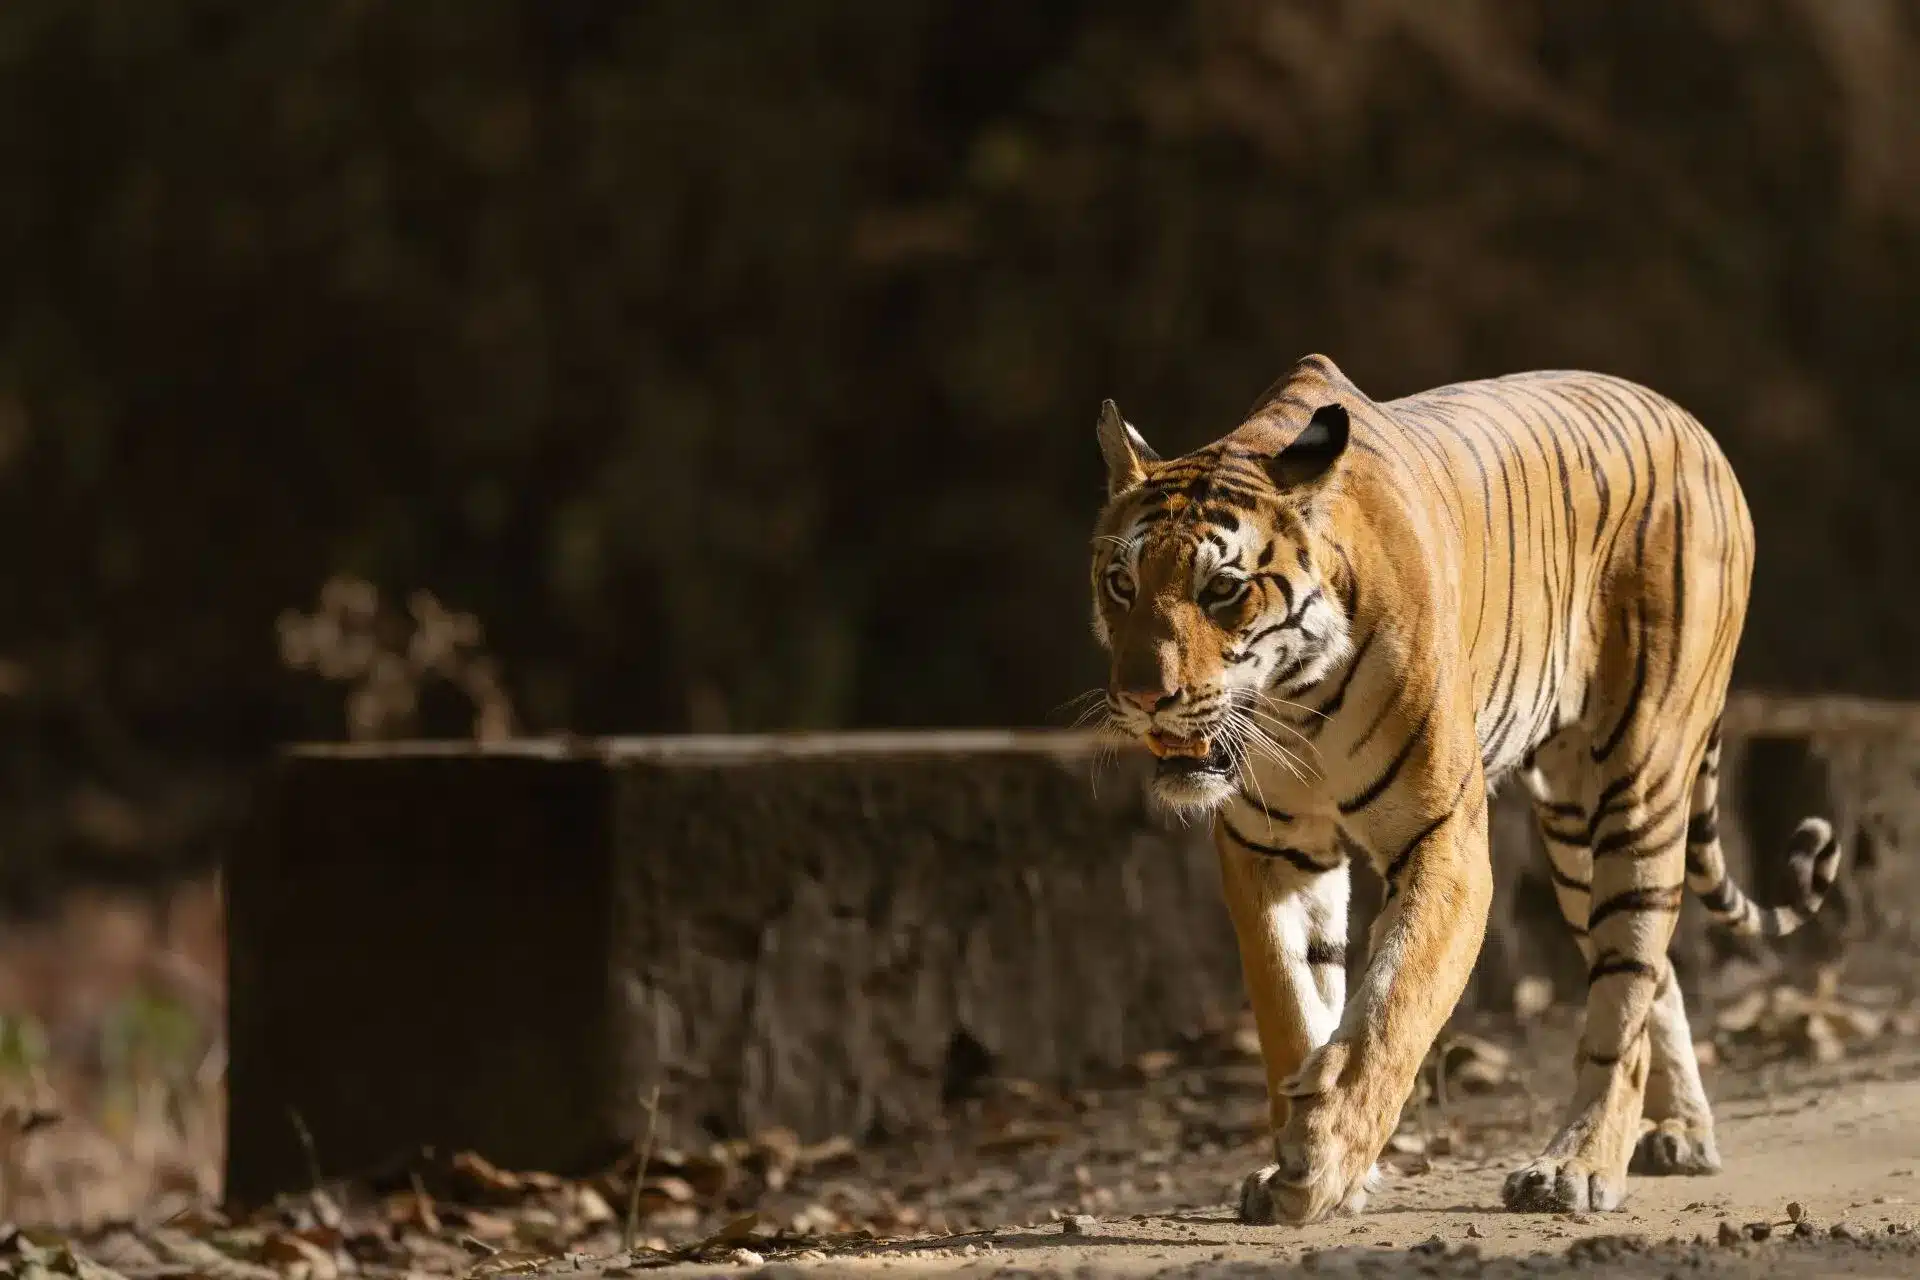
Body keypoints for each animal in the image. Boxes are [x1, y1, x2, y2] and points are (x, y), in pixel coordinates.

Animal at [1085, 354, 1842, 1224]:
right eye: (1121, 583)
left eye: (1222, 589)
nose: (1144, 697)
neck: (1290, 701)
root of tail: (1692, 424)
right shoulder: (1268, 846)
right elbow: (1290, 1000)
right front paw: (1296, 1157)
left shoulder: (1443, 838)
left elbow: (1392, 1007)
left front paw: (1325, 1158)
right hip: (1575, 825)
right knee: (1652, 971)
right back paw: (1681, 1134)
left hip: (1641, 780)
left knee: (1625, 986)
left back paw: (1578, 1164)